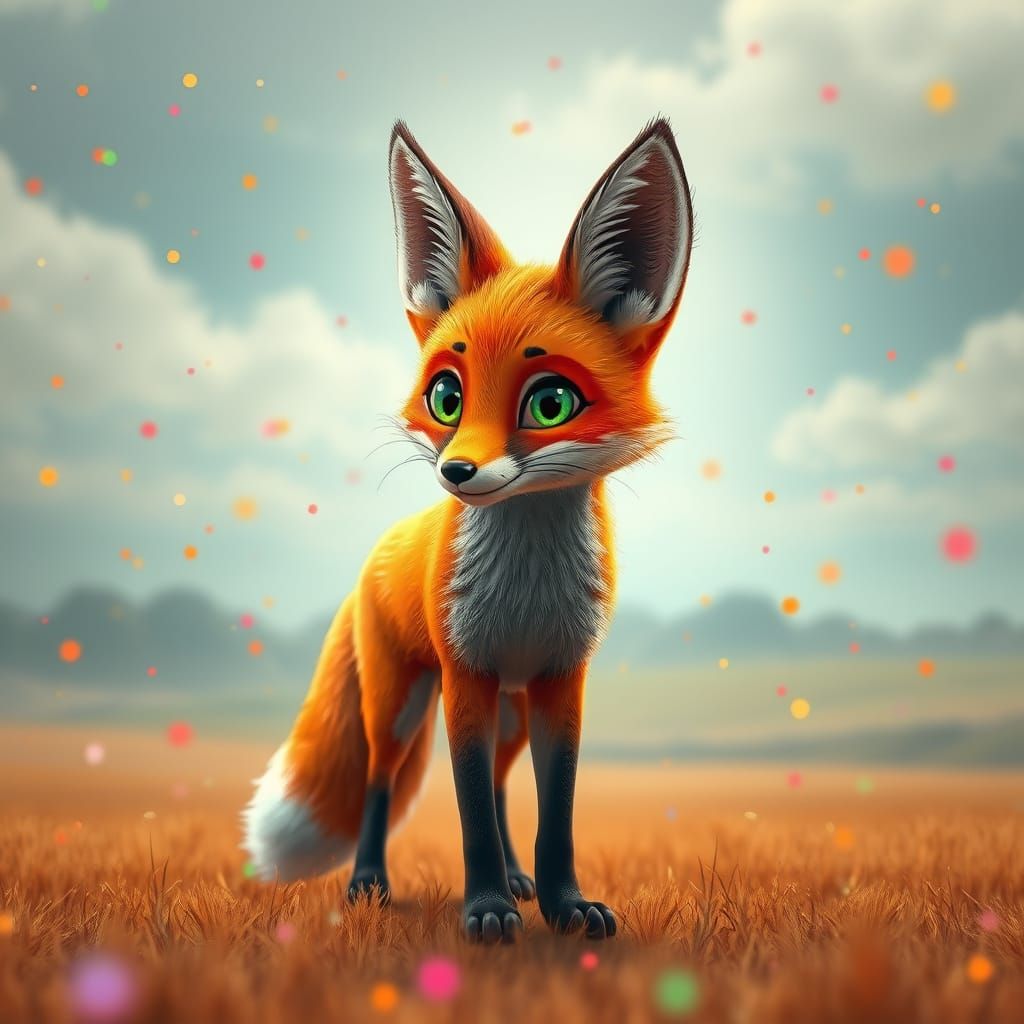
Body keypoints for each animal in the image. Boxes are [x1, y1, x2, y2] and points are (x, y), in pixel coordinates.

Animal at [243, 117, 693, 944]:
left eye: (550, 403)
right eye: (446, 396)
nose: (457, 472)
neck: (526, 592)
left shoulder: (560, 679)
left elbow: (555, 810)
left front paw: (563, 903)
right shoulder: (467, 677)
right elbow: (470, 810)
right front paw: (485, 909)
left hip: (511, 710)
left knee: (507, 785)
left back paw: (519, 880)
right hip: (400, 705)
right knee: (381, 782)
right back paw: (370, 882)